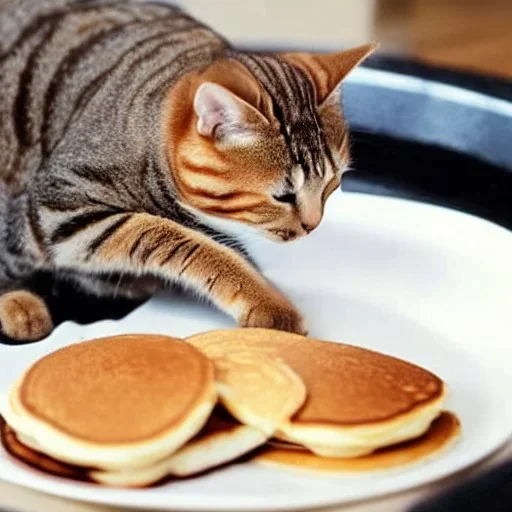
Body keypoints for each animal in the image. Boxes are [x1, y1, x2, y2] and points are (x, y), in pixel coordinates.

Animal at [0, 1, 376, 344]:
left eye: (332, 186)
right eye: (282, 196)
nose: (313, 226)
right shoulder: (60, 207)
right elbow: (178, 240)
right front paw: (266, 300)